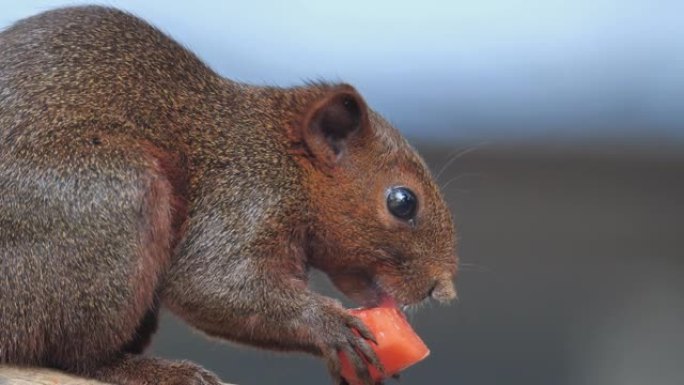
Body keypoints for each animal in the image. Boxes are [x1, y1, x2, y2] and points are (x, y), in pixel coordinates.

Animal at [1, 5, 460, 384]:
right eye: (402, 202)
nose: (443, 291)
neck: (287, 161)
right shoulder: (246, 197)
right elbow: (208, 284)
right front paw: (327, 323)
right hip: (113, 199)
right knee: (75, 358)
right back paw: (148, 369)